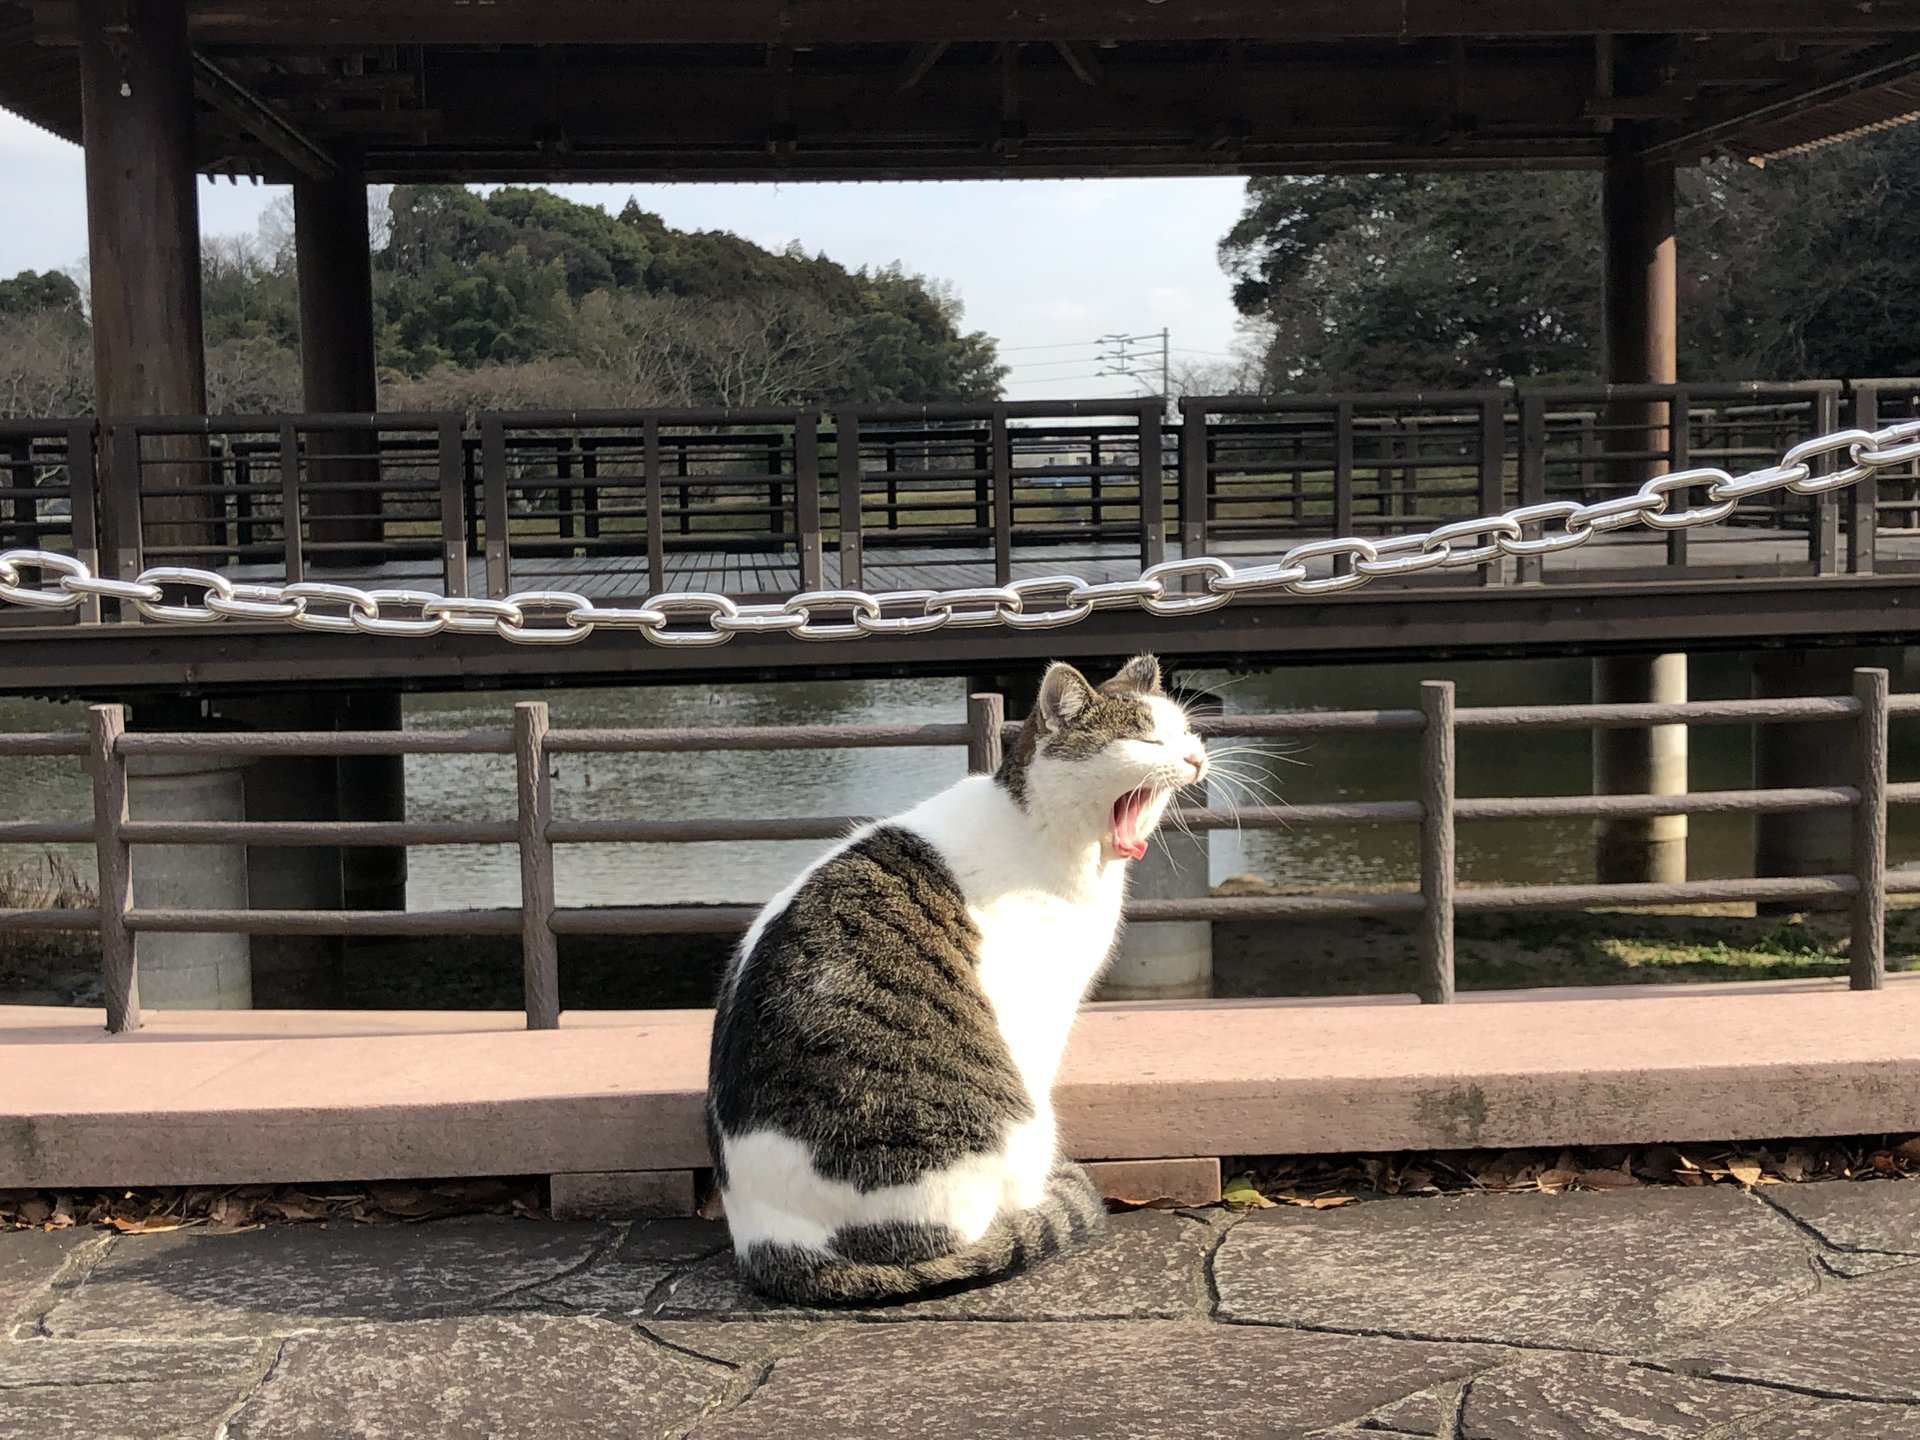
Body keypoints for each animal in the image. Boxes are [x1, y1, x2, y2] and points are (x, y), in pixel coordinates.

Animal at [706, 652, 1213, 1305]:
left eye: (1188, 733)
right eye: (1146, 739)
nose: (1196, 758)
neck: (1051, 837)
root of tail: (767, 1238)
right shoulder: (1041, 1008)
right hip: (1000, 1128)